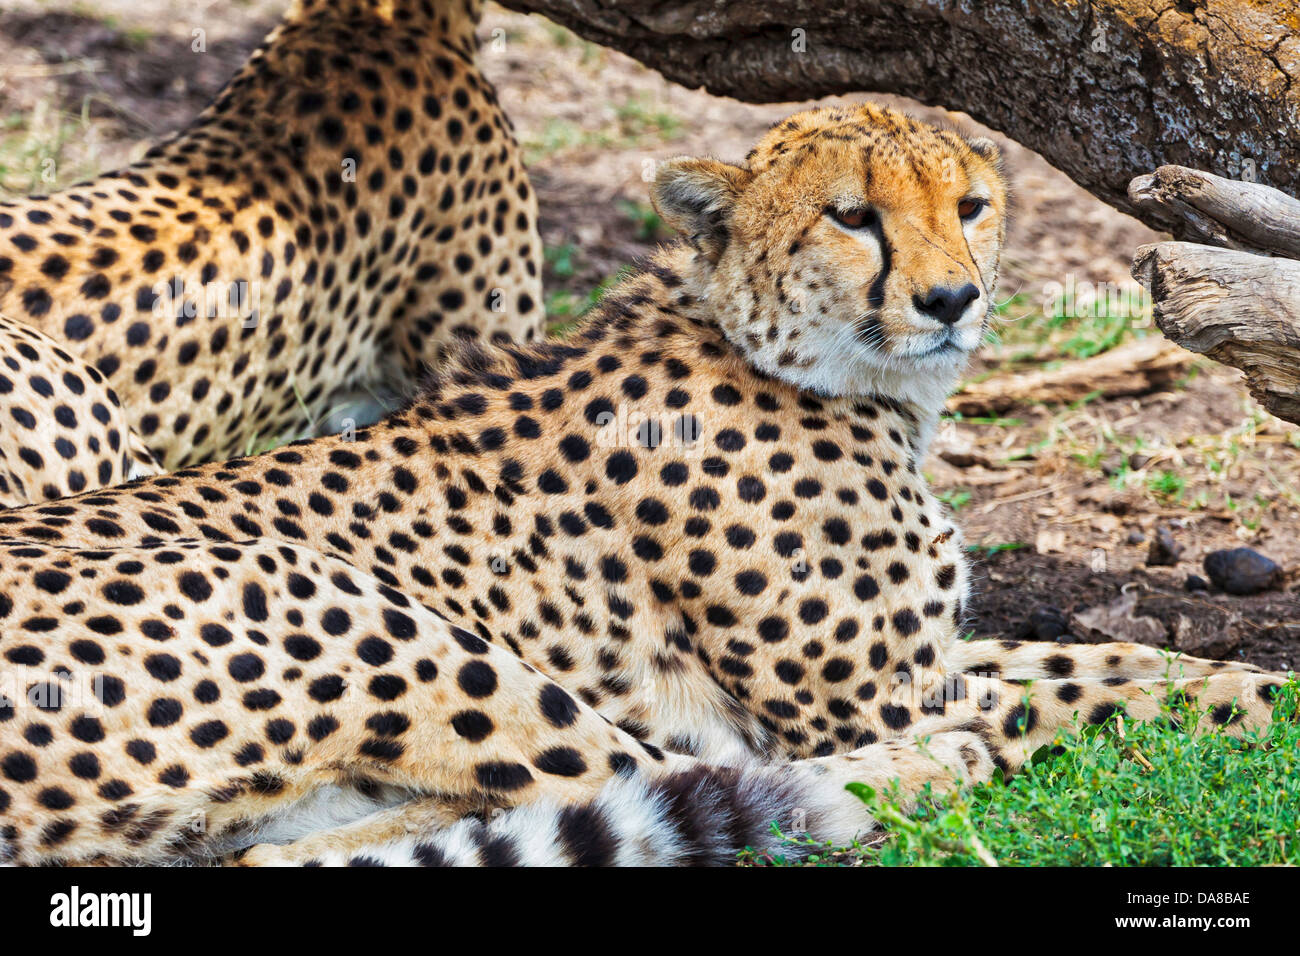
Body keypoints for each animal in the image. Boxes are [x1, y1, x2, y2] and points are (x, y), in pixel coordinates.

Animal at [0, 104, 1284, 868]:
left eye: (968, 207)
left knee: (281, 851)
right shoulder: (872, 699)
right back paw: (929, 771)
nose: (952, 299)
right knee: (664, 772)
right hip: (348, 609)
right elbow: (1084, 692)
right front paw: (1259, 708)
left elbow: (1120, 660)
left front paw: (1234, 680)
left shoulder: (929, 659)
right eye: (853, 217)